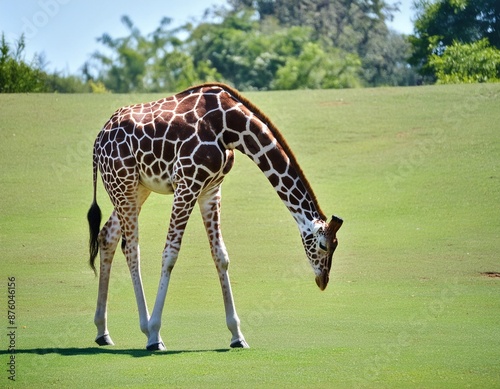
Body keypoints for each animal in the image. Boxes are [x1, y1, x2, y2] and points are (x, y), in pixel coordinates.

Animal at [88, 82, 342, 348]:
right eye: (323, 245)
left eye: (336, 246)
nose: (323, 281)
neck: (230, 127)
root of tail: (98, 141)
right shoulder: (187, 183)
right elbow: (170, 254)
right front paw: (156, 333)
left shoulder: (211, 189)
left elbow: (221, 255)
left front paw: (237, 335)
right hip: (123, 183)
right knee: (131, 248)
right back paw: (147, 331)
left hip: (137, 188)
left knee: (107, 236)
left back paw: (103, 331)